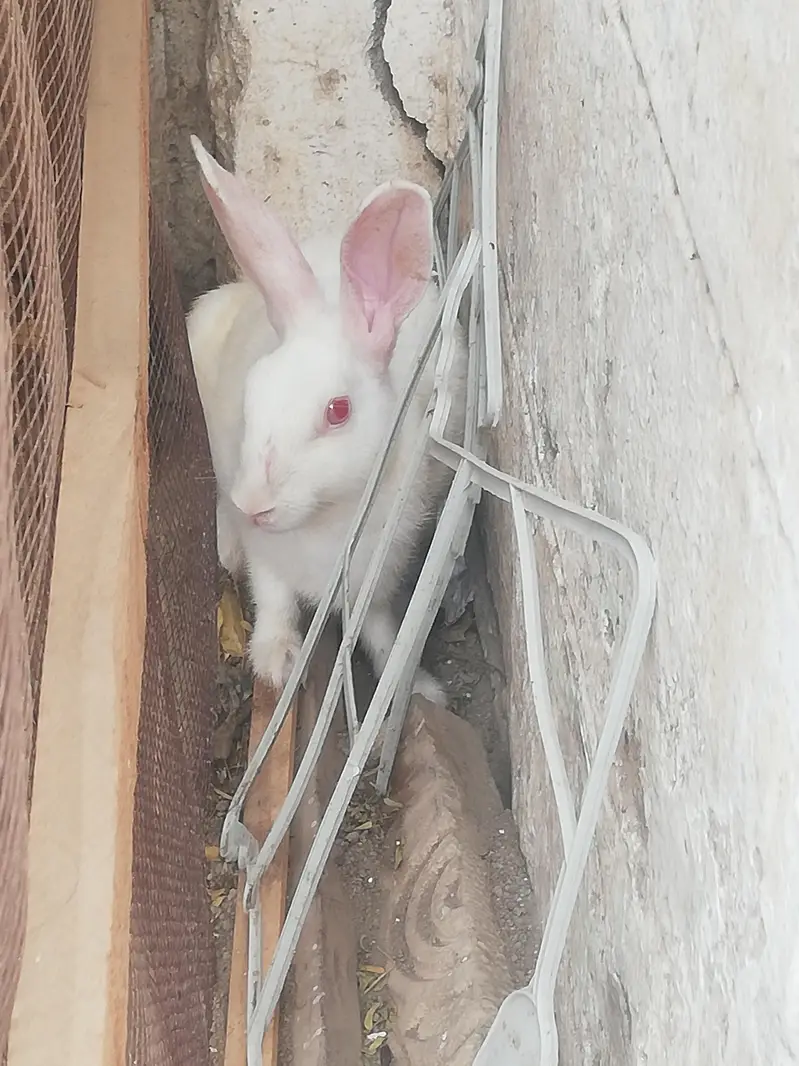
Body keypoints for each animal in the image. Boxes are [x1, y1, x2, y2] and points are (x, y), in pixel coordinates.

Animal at [186, 136, 467, 707]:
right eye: (253, 391)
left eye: (338, 412)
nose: (255, 504)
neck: (327, 517)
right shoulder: (269, 557)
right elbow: (273, 598)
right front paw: (277, 660)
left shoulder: (381, 575)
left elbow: (379, 629)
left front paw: (420, 690)